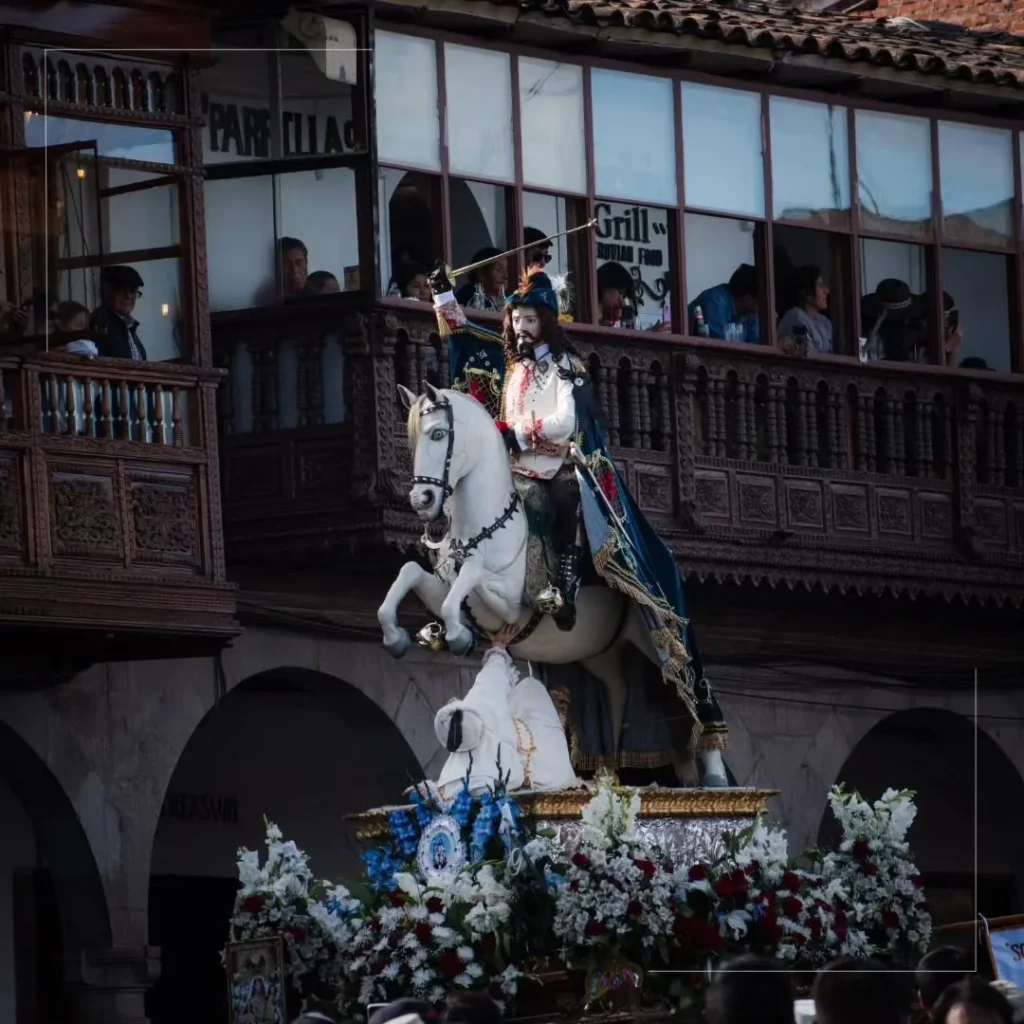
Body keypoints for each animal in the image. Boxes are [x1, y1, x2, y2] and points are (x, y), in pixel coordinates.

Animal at [378, 385, 729, 782]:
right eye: (412, 440)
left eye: (438, 434)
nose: (421, 500)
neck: (487, 526)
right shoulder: (443, 589)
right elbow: (410, 572)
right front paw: (399, 636)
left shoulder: (510, 604)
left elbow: (472, 574)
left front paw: (457, 635)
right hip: (601, 655)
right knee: (618, 692)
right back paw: (608, 773)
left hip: (656, 633)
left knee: (696, 693)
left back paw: (713, 774)